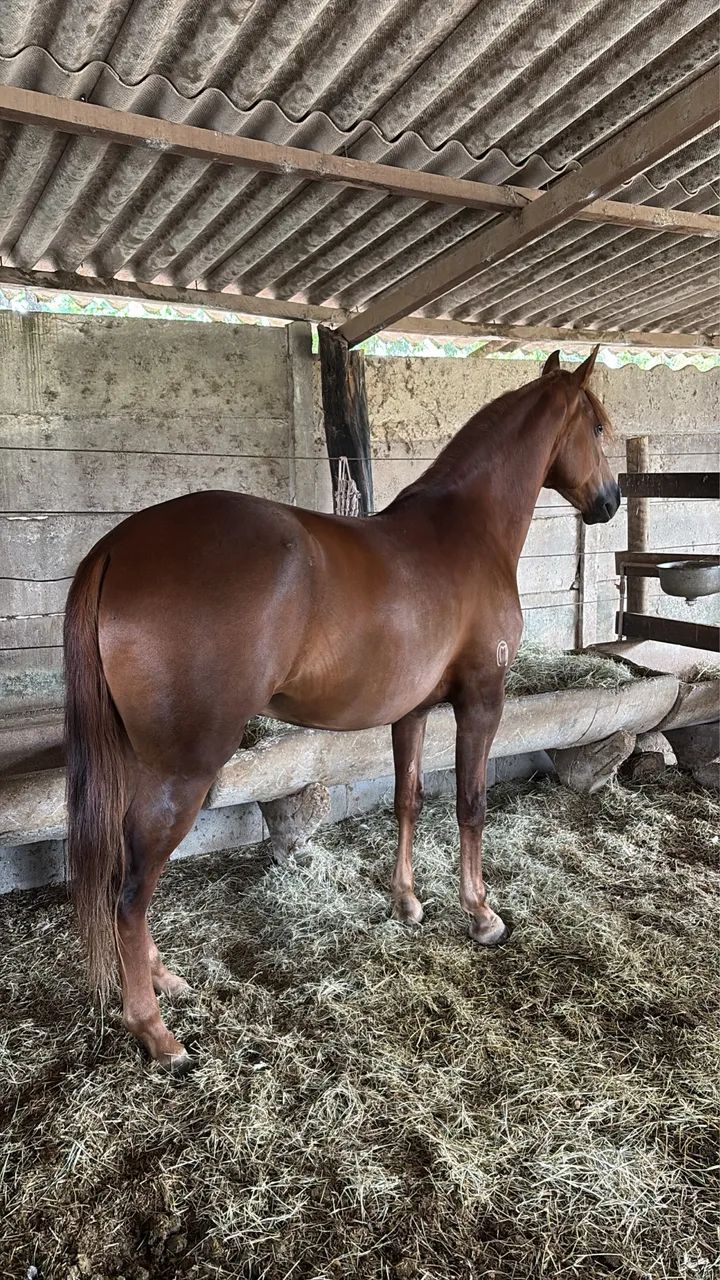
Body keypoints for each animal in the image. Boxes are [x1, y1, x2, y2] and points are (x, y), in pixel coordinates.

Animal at [64, 345, 620, 1069]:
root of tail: (116, 546)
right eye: (600, 426)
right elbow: (470, 805)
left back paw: (166, 980)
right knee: (131, 895)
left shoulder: (412, 712)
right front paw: (481, 915)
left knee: (122, 878)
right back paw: (157, 1032)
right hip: (182, 772)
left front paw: (408, 903)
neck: (466, 530)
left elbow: (409, 799)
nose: (610, 501)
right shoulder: (481, 702)